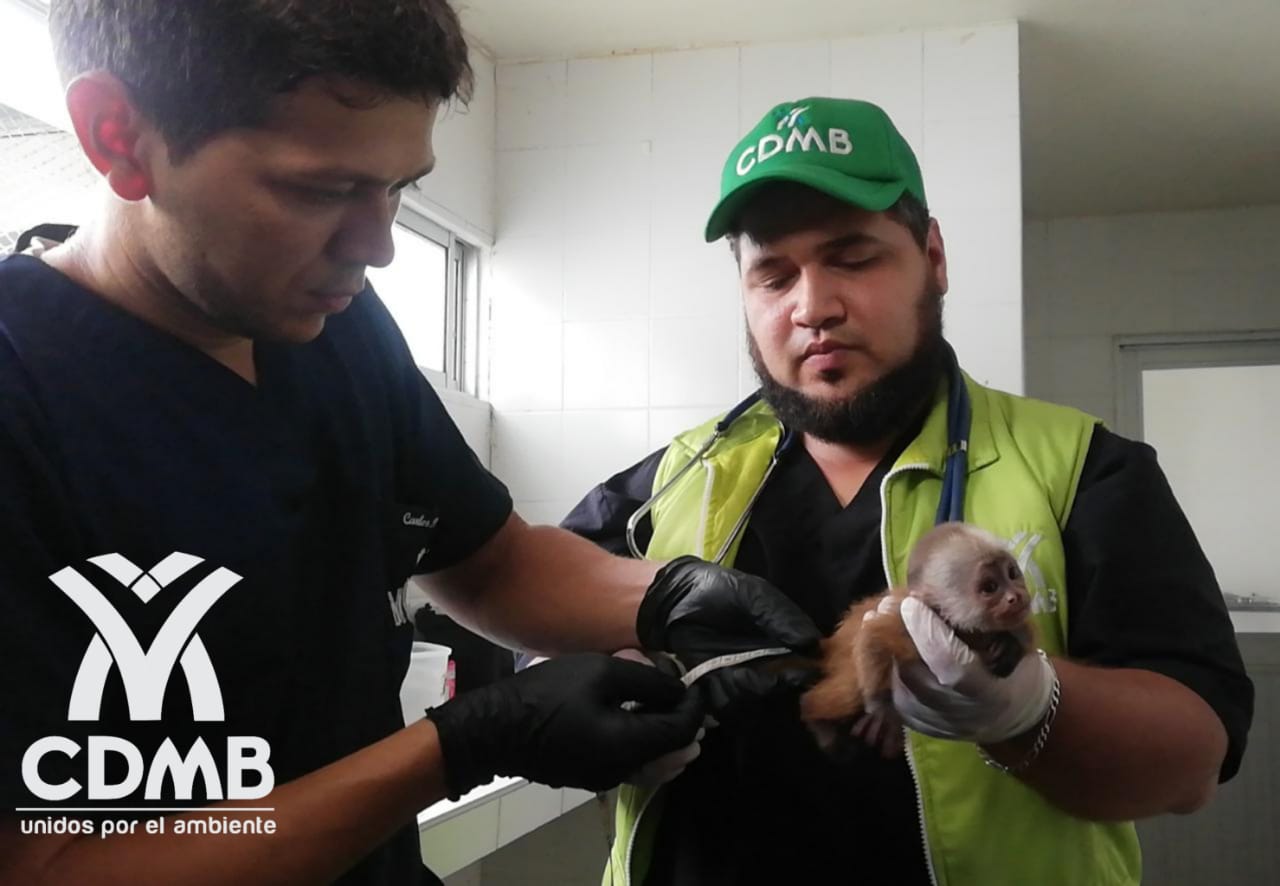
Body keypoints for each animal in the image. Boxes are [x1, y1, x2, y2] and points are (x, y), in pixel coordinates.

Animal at [798, 522, 1039, 757]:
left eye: (1012, 574)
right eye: (990, 587)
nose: (1015, 596)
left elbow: (1025, 634)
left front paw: (1008, 648)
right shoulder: (908, 620)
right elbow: (873, 637)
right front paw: (880, 707)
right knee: (849, 691)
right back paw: (813, 714)